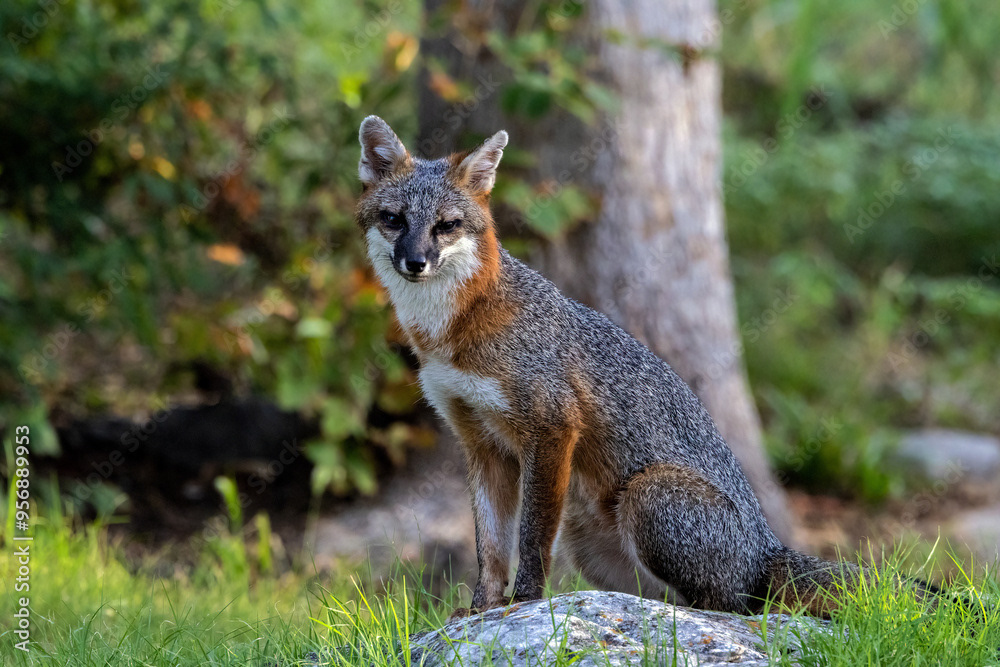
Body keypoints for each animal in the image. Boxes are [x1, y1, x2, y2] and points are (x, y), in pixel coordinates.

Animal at [354, 115, 940, 618]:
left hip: (647, 495)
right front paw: (481, 610)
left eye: (446, 226)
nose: (415, 262)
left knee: (735, 607)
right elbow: (491, 547)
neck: (451, 334)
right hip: (588, 541)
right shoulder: (481, 443)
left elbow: (530, 539)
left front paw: (524, 603)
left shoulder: (552, 428)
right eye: (394, 220)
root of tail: (766, 547)